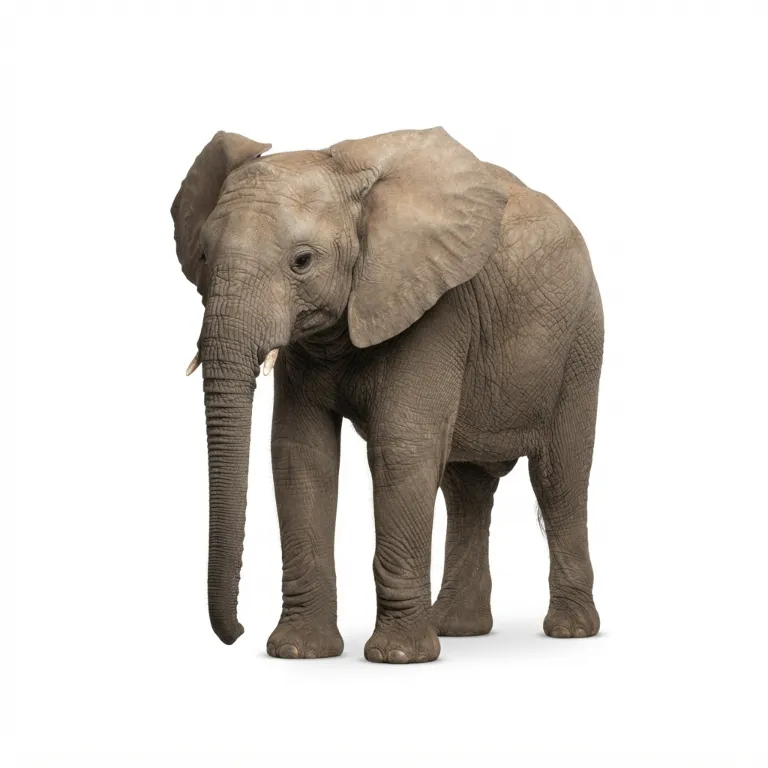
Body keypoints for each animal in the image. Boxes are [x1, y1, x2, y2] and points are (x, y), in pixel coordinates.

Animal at [171, 127, 603, 664]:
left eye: (302, 262)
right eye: (203, 257)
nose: (237, 633)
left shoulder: (438, 307)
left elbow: (402, 449)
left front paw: (398, 658)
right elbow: (300, 454)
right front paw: (298, 652)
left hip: (580, 342)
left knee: (559, 477)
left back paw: (569, 631)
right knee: (466, 488)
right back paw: (458, 629)